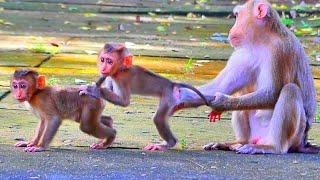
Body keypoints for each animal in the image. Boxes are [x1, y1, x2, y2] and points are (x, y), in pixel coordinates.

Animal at [180, 0, 318, 155]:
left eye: (237, 16)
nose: (231, 30)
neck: (263, 41)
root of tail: (303, 142)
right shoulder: (244, 53)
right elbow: (219, 86)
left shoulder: (280, 51)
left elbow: (273, 93)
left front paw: (222, 103)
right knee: (244, 92)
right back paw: (238, 142)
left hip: (296, 136)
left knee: (290, 90)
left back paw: (272, 147)